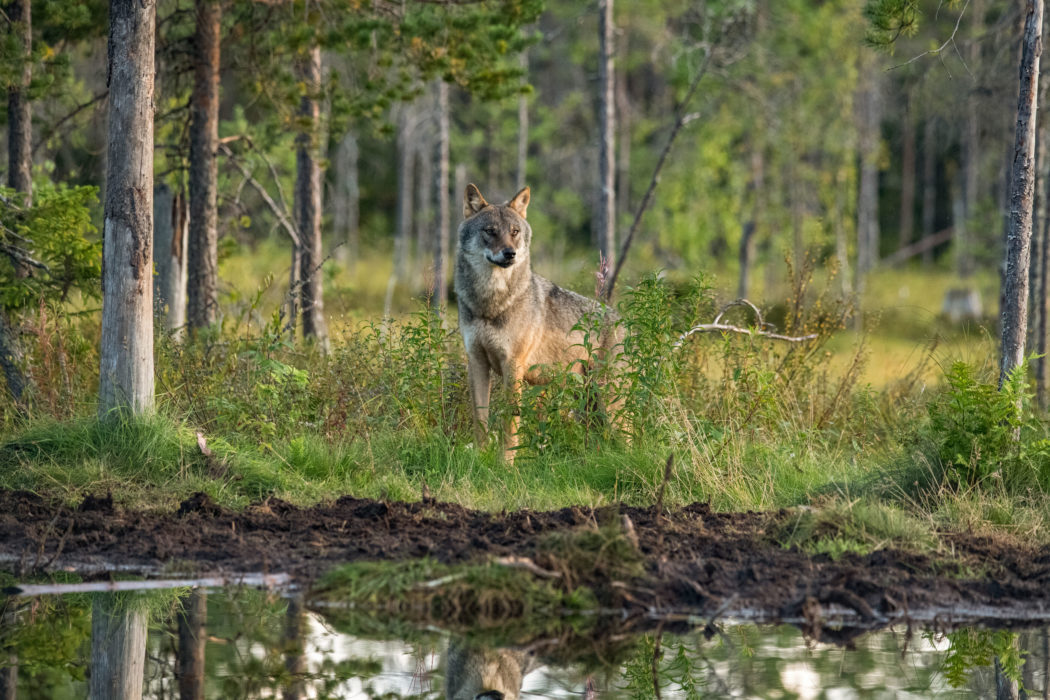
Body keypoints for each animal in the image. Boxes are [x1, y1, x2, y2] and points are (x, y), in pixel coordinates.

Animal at [454, 183, 624, 460]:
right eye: (490, 231)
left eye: (514, 232)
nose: (510, 253)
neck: (491, 303)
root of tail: (624, 321)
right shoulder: (477, 362)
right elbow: (480, 419)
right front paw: (479, 458)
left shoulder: (513, 366)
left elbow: (509, 423)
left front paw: (506, 463)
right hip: (588, 405)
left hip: (608, 404)